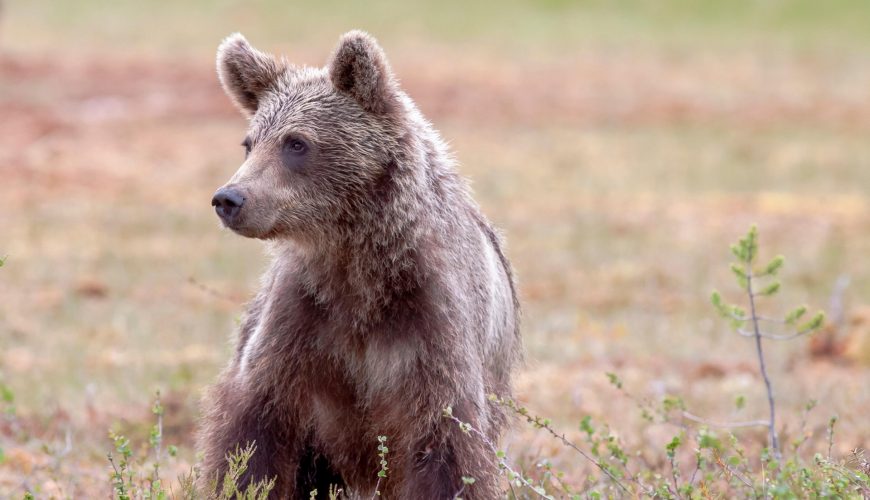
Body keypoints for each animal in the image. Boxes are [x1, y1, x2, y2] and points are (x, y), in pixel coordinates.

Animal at [201, 32, 520, 500]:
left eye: (296, 142)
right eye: (249, 142)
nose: (229, 198)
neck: (358, 266)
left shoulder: (431, 326)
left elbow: (447, 448)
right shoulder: (301, 322)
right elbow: (254, 435)